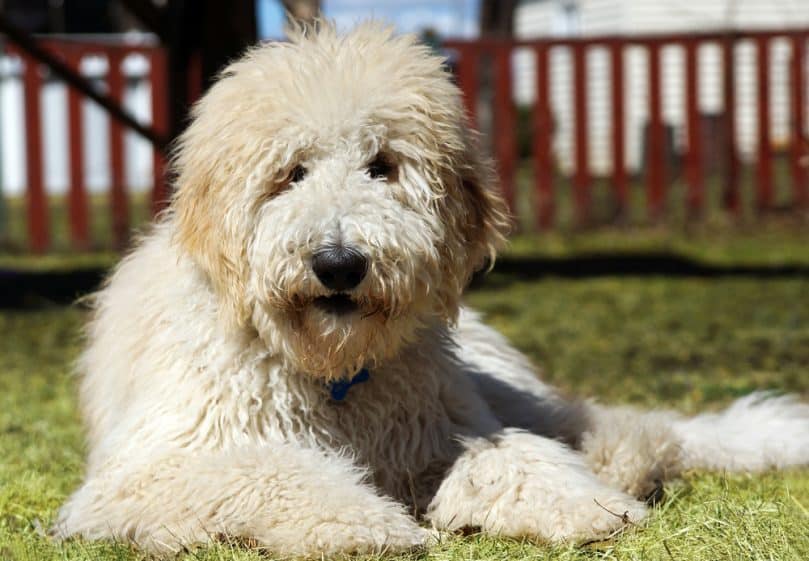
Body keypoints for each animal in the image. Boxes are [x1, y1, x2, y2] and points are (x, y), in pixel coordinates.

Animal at [56, 23, 808, 556]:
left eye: (382, 165)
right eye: (291, 172)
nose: (339, 264)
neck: (332, 374)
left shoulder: (437, 427)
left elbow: (509, 456)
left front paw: (582, 503)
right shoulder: (147, 471)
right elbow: (263, 469)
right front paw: (362, 520)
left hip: (493, 383)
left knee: (617, 425)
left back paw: (622, 463)